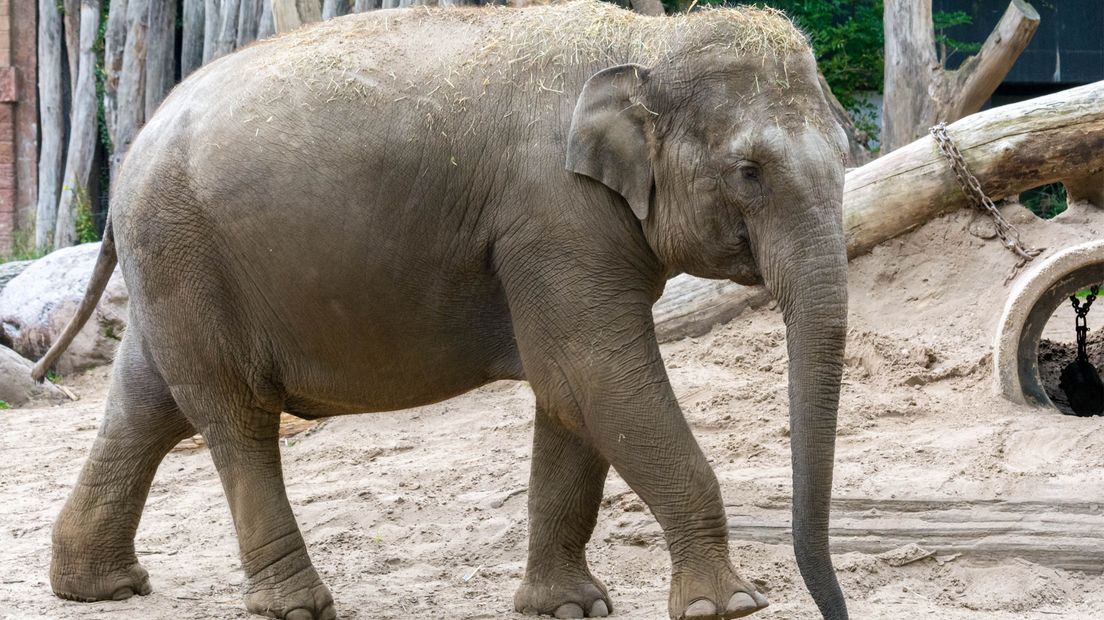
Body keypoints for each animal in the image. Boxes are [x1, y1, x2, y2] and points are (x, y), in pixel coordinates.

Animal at [34, 1, 843, 617]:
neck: (648, 43)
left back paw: (100, 588)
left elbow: (571, 393)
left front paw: (567, 607)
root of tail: (133, 149)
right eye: (749, 171)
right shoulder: (555, 217)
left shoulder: (560, 237)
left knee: (147, 402)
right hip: (185, 253)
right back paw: (294, 606)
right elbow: (599, 377)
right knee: (234, 415)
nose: (832, 608)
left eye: (848, 149)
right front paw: (730, 607)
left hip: (172, 268)